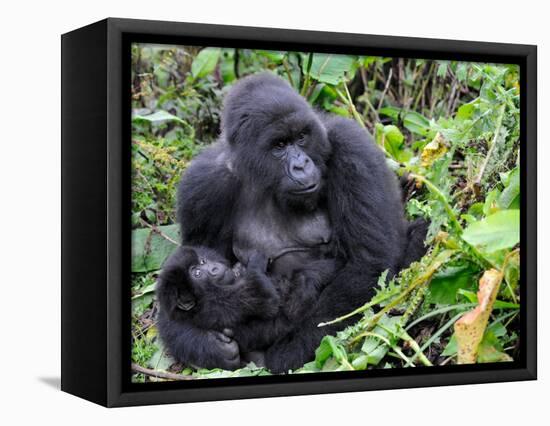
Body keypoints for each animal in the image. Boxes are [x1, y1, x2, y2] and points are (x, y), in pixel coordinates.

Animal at [176, 73, 426, 372]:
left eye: (301, 138)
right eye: (279, 146)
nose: (301, 165)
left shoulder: (352, 147)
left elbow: (368, 264)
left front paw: (286, 355)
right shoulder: (202, 188)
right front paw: (208, 347)